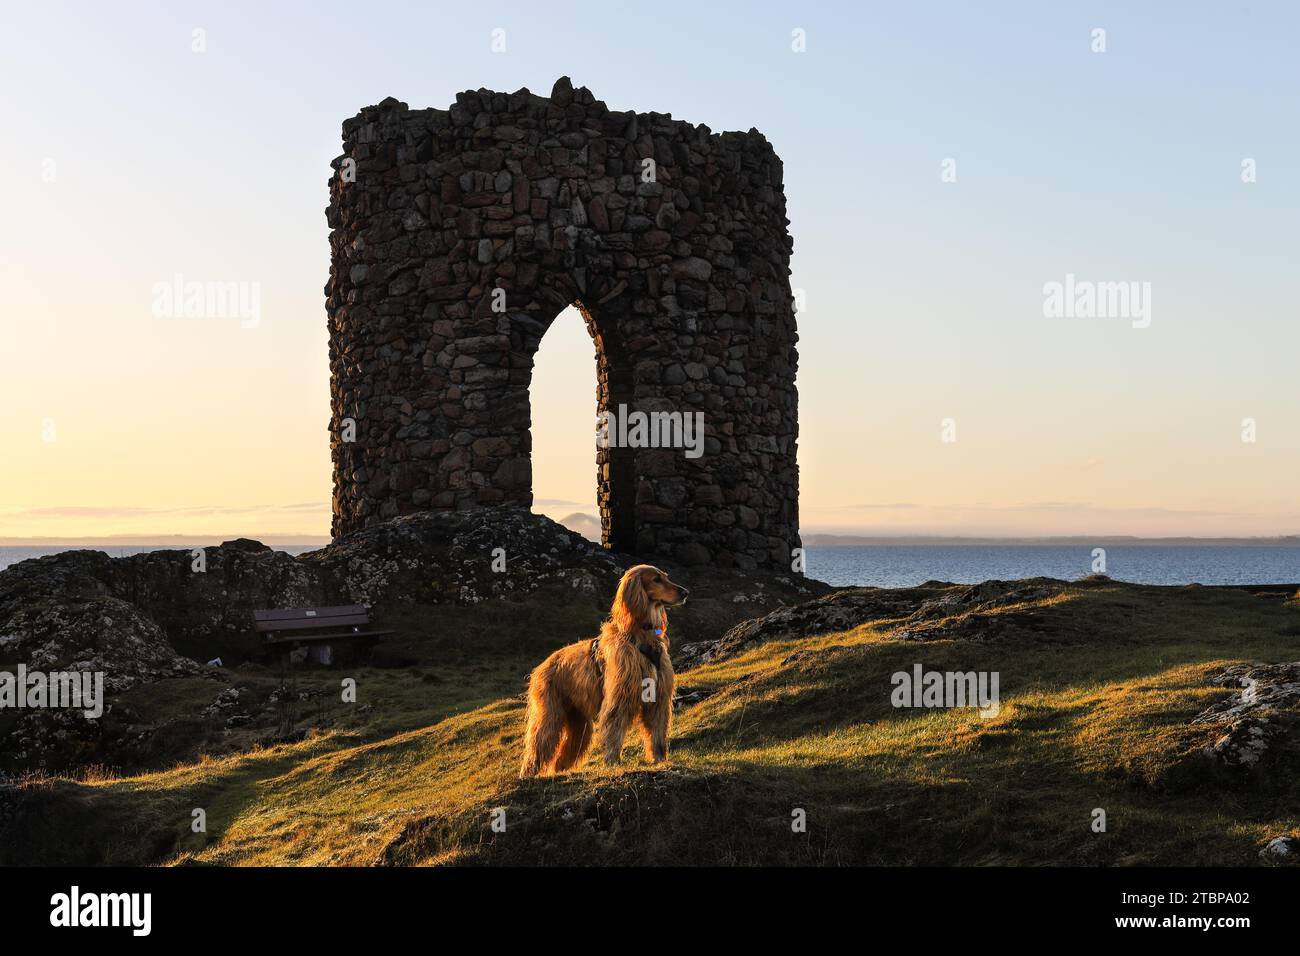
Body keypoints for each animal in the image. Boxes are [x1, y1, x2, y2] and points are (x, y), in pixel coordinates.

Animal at [514, 567, 686, 780]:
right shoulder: (619, 697)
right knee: (538, 744)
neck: (641, 638)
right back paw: (527, 775)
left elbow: (657, 733)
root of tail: (541, 666)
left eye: (666, 577)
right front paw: (612, 762)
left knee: (564, 753)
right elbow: (614, 730)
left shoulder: (658, 697)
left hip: (578, 720)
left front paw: (660, 759)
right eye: (656, 579)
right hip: (550, 712)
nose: (685, 592)